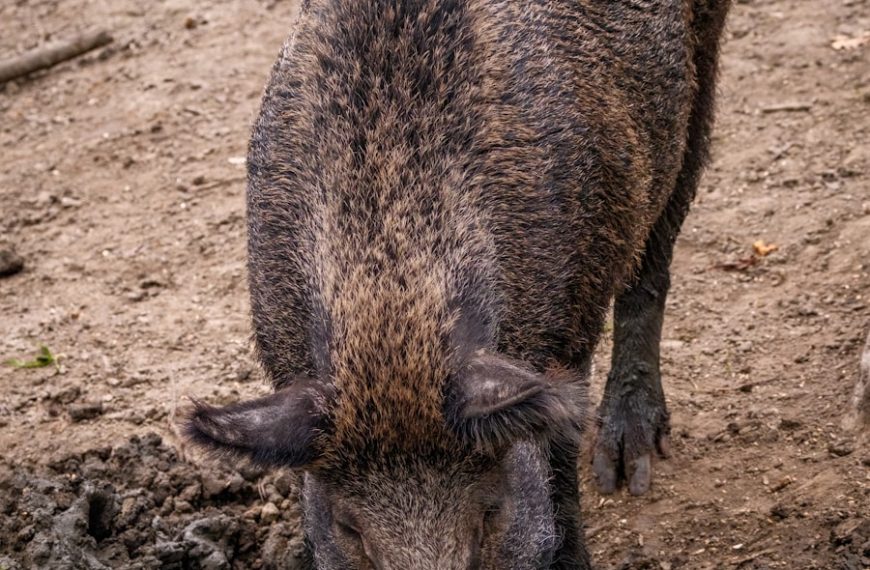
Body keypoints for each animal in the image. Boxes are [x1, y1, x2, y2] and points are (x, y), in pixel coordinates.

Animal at [185, 0, 732, 568]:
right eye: (350, 528)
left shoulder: (567, 327)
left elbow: (558, 466)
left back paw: (626, 469)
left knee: (655, 256)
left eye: (490, 513)